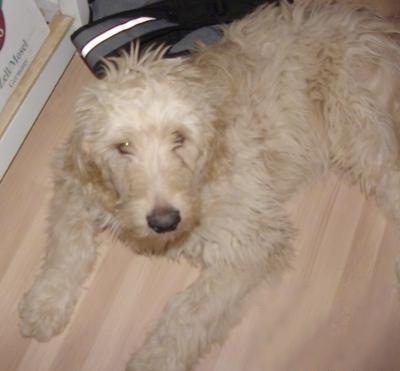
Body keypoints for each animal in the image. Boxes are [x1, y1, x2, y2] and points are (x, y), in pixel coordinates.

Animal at [20, 0, 400, 371]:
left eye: (179, 138)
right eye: (123, 146)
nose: (164, 222)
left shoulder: (250, 240)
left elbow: (189, 313)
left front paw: (154, 359)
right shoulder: (75, 183)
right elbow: (68, 244)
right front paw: (45, 303)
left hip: (361, 129)